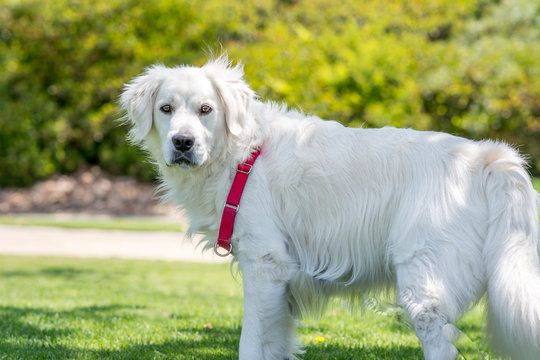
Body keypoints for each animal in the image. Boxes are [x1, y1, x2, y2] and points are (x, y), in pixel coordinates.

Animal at [122, 57, 540, 358]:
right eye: (166, 108)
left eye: (206, 109)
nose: (182, 142)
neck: (241, 155)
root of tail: (486, 156)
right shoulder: (280, 286)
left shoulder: (265, 266)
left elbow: (250, 344)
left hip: (424, 287)